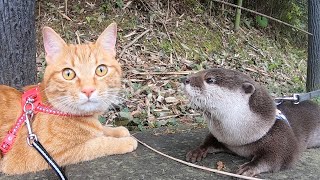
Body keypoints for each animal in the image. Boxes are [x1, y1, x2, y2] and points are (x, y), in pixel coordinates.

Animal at [0, 22, 137, 174]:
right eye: (68, 74)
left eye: (101, 70)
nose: (88, 90)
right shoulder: (38, 156)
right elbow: (96, 144)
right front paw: (124, 141)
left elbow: (102, 129)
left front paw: (117, 130)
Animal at [181, 68, 320, 176]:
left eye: (210, 79)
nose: (184, 79)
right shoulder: (222, 138)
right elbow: (209, 141)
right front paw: (197, 151)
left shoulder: (282, 136)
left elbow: (279, 157)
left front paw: (249, 167)